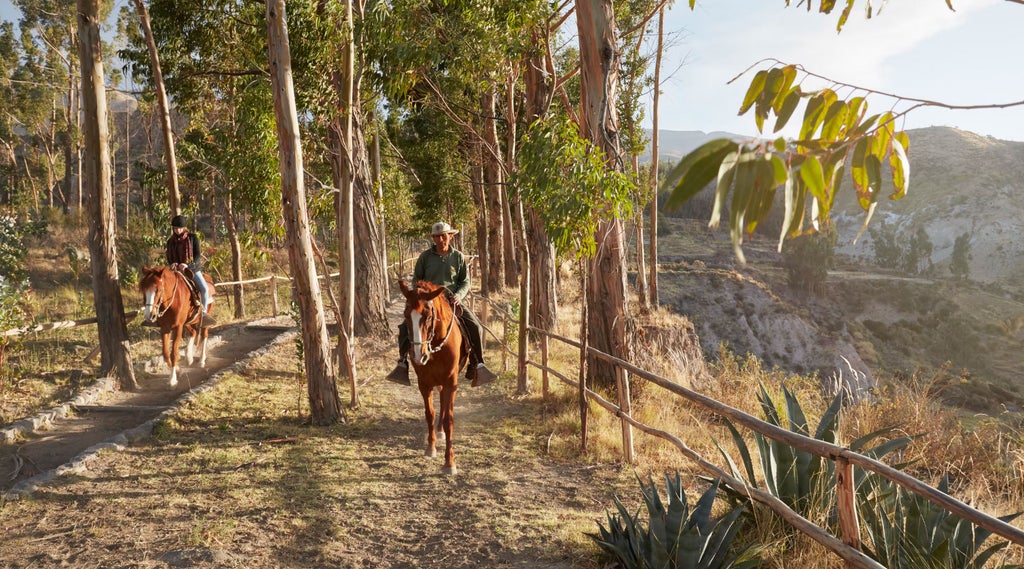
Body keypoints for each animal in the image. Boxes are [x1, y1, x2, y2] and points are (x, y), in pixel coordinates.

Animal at [397, 280, 468, 474]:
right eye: (406, 315)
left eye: (428, 316)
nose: (418, 355)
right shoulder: (424, 383)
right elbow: (429, 413)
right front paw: (431, 448)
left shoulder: (451, 383)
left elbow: (449, 419)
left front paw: (450, 463)